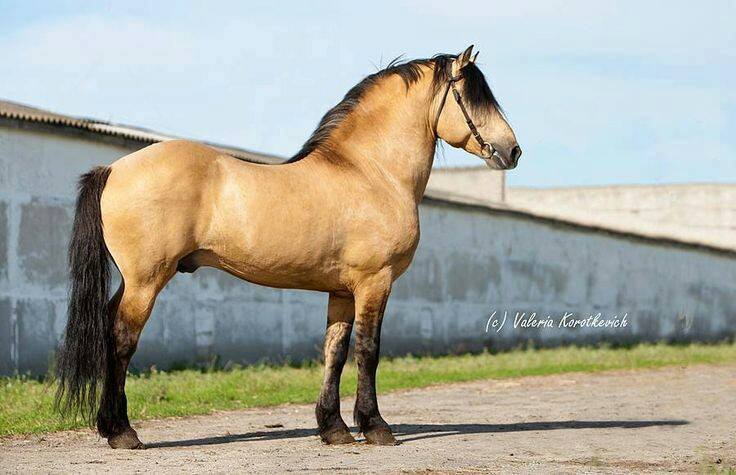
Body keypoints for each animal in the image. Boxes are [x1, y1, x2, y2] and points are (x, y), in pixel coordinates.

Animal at [56, 46, 516, 452]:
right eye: (473, 95)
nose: (512, 150)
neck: (371, 172)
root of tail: (113, 168)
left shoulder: (342, 291)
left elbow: (334, 351)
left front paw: (334, 429)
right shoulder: (375, 283)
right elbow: (368, 351)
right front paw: (375, 427)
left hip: (132, 281)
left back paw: (109, 426)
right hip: (146, 281)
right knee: (122, 339)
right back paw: (123, 433)